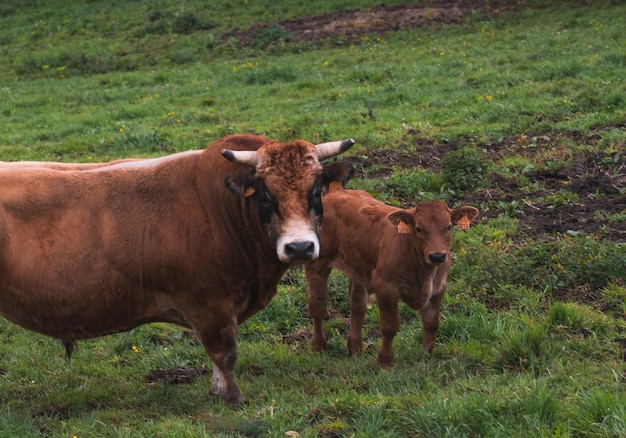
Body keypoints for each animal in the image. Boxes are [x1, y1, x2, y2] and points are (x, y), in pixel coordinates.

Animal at [0, 133, 352, 404]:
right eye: (265, 195)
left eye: (316, 190)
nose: (299, 247)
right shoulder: (208, 302)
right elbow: (225, 351)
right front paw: (234, 398)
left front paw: (217, 392)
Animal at [304, 190, 478, 368]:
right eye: (418, 228)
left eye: (448, 227)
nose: (437, 256)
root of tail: (336, 193)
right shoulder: (386, 287)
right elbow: (389, 326)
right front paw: (385, 361)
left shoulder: (438, 288)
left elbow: (431, 323)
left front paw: (427, 355)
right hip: (317, 263)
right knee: (317, 305)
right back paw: (318, 346)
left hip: (359, 268)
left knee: (357, 305)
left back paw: (355, 348)